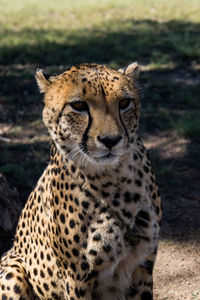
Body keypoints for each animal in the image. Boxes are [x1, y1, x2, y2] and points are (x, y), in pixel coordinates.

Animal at [0, 62, 162, 298]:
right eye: (78, 105)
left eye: (124, 103)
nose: (111, 140)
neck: (114, 178)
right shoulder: (77, 279)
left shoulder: (142, 266)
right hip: (12, 268)